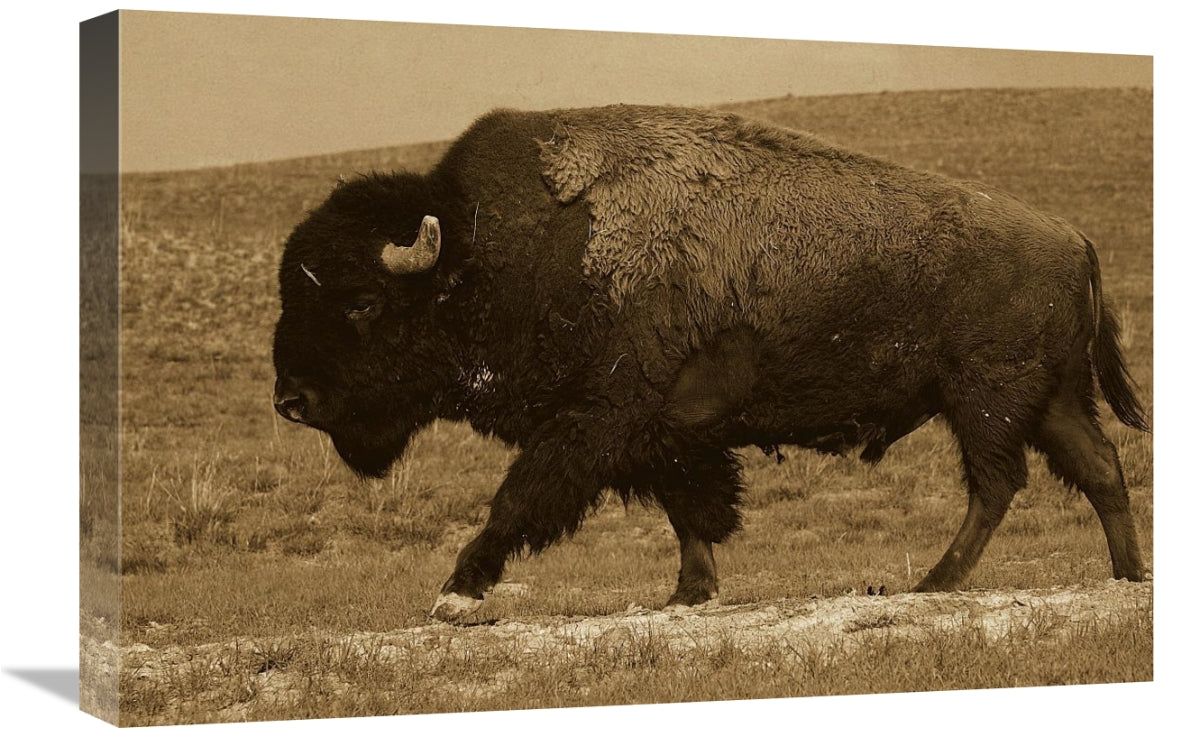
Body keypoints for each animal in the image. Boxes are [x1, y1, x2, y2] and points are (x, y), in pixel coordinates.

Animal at [272, 104, 1150, 622]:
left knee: (999, 483)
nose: (291, 399)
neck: (487, 247)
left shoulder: (597, 420)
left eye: (362, 302)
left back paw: (938, 581)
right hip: (1047, 398)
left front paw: (456, 591)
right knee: (1097, 466)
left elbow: (520, 496)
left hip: (986, 397)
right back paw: (1126, 574)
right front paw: (690, 590)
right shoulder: (666, 433)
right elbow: (689, 510)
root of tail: (1074, 237)